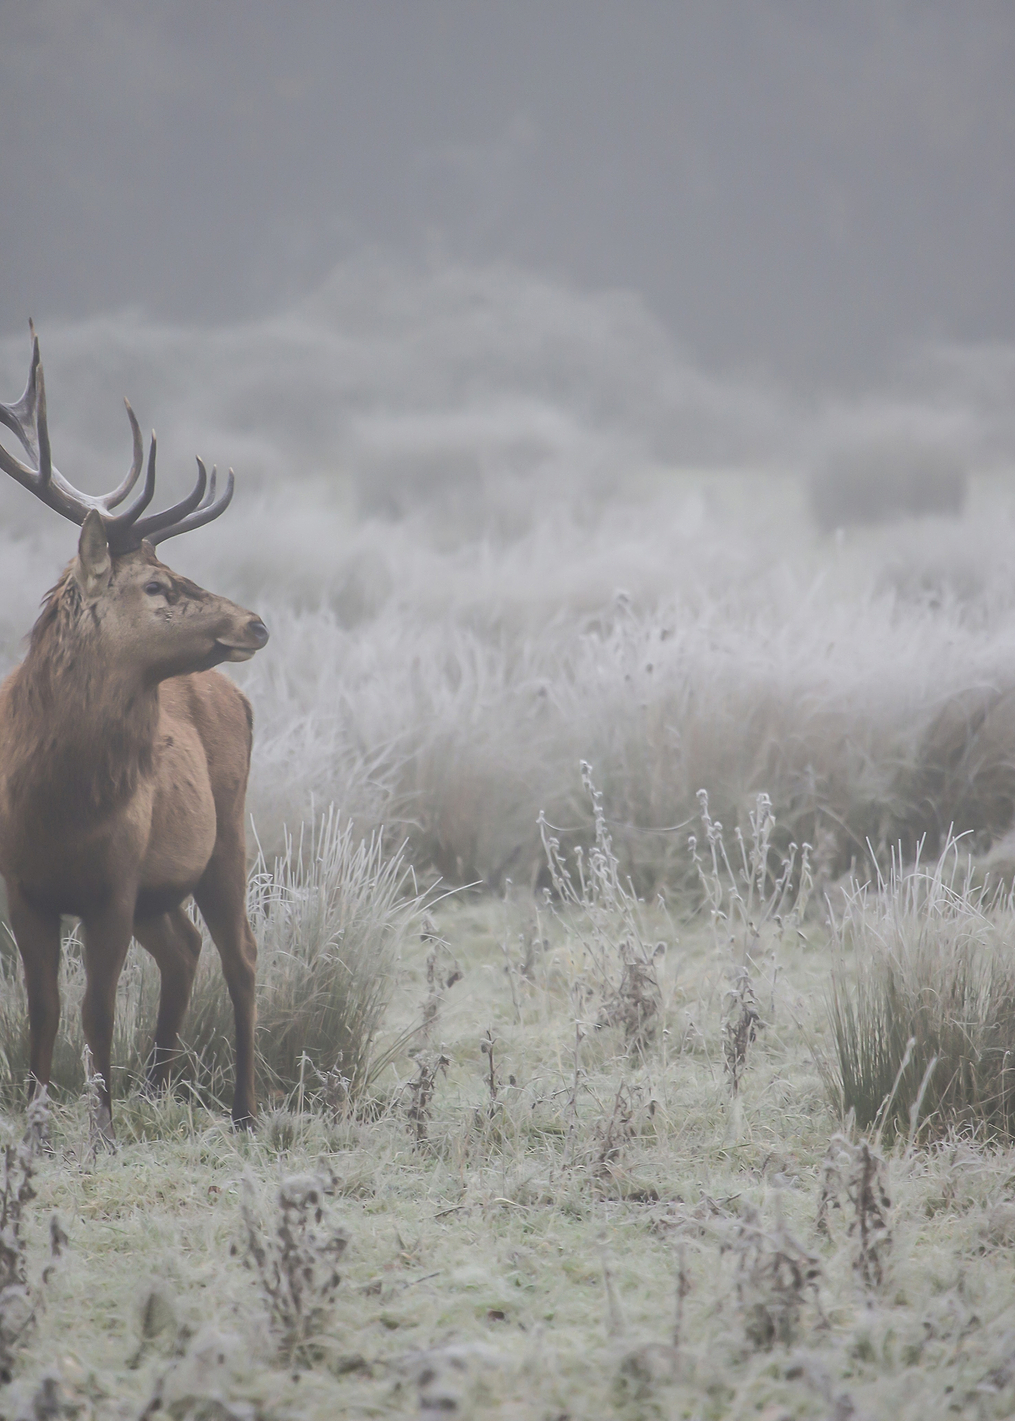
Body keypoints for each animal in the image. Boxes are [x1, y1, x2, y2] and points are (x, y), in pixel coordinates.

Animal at [0, 324, 269, 1140]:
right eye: (155, 583)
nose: (256, 622)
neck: (54, 802)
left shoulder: (115, 880)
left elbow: (95, 1008)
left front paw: (100, 1128)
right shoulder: (22, 885)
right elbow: (44, 1008)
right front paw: (38, 1123)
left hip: (227, 833)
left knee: (241, 956)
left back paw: (244, 1111)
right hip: (163, 887)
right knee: (185, 949)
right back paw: (155, 1084)